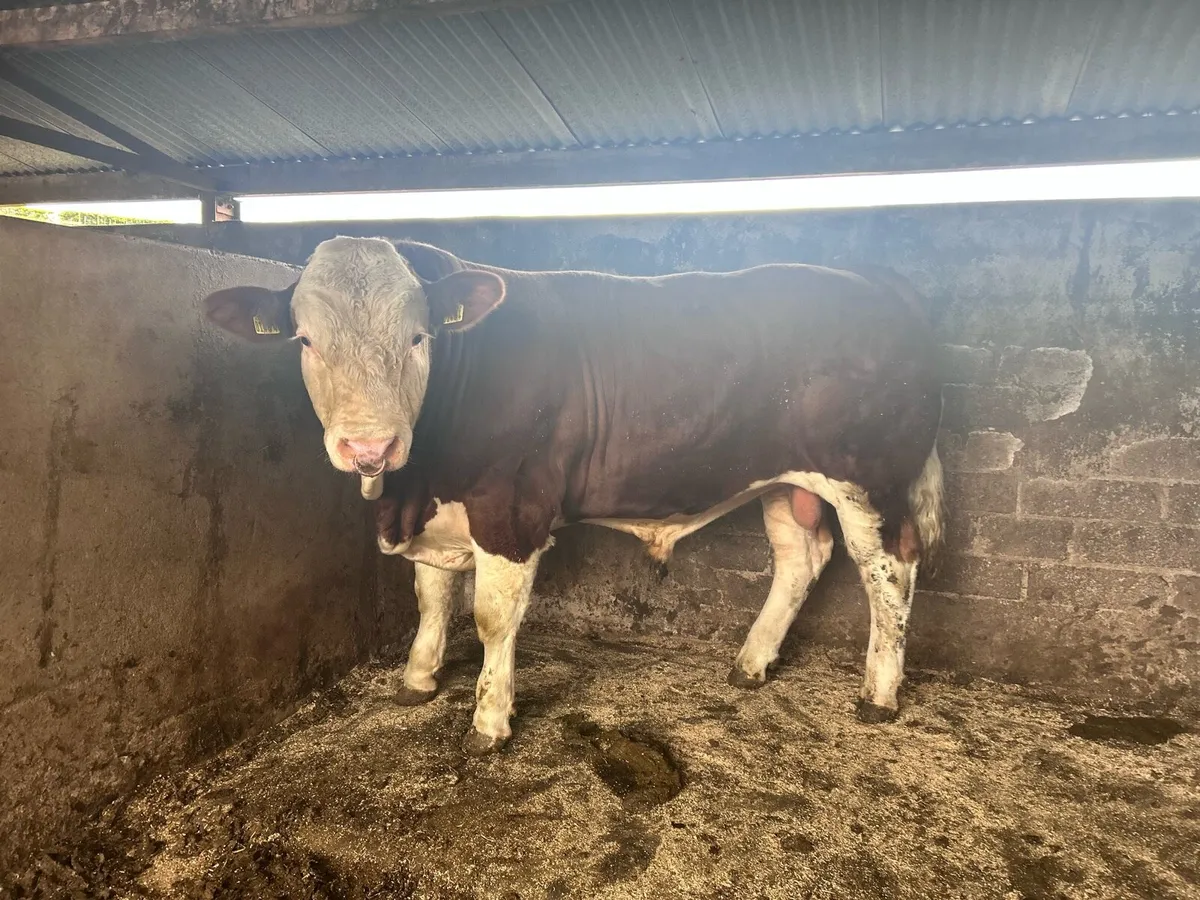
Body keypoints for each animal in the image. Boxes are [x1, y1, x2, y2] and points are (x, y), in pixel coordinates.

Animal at [204, 237, 945, 756]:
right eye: (305, 340)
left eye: (419, 337)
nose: (369, 447)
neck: (413, 488)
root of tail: (877, 278)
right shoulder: (434, 513)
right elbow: (431, 598)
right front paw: (418, 680)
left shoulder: (510, 507)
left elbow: (491, 618)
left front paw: (489, 721)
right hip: (784, 480)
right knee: (801, 557)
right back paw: (752, 663)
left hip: (869, 479)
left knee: (888, 570)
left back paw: (879, 694)